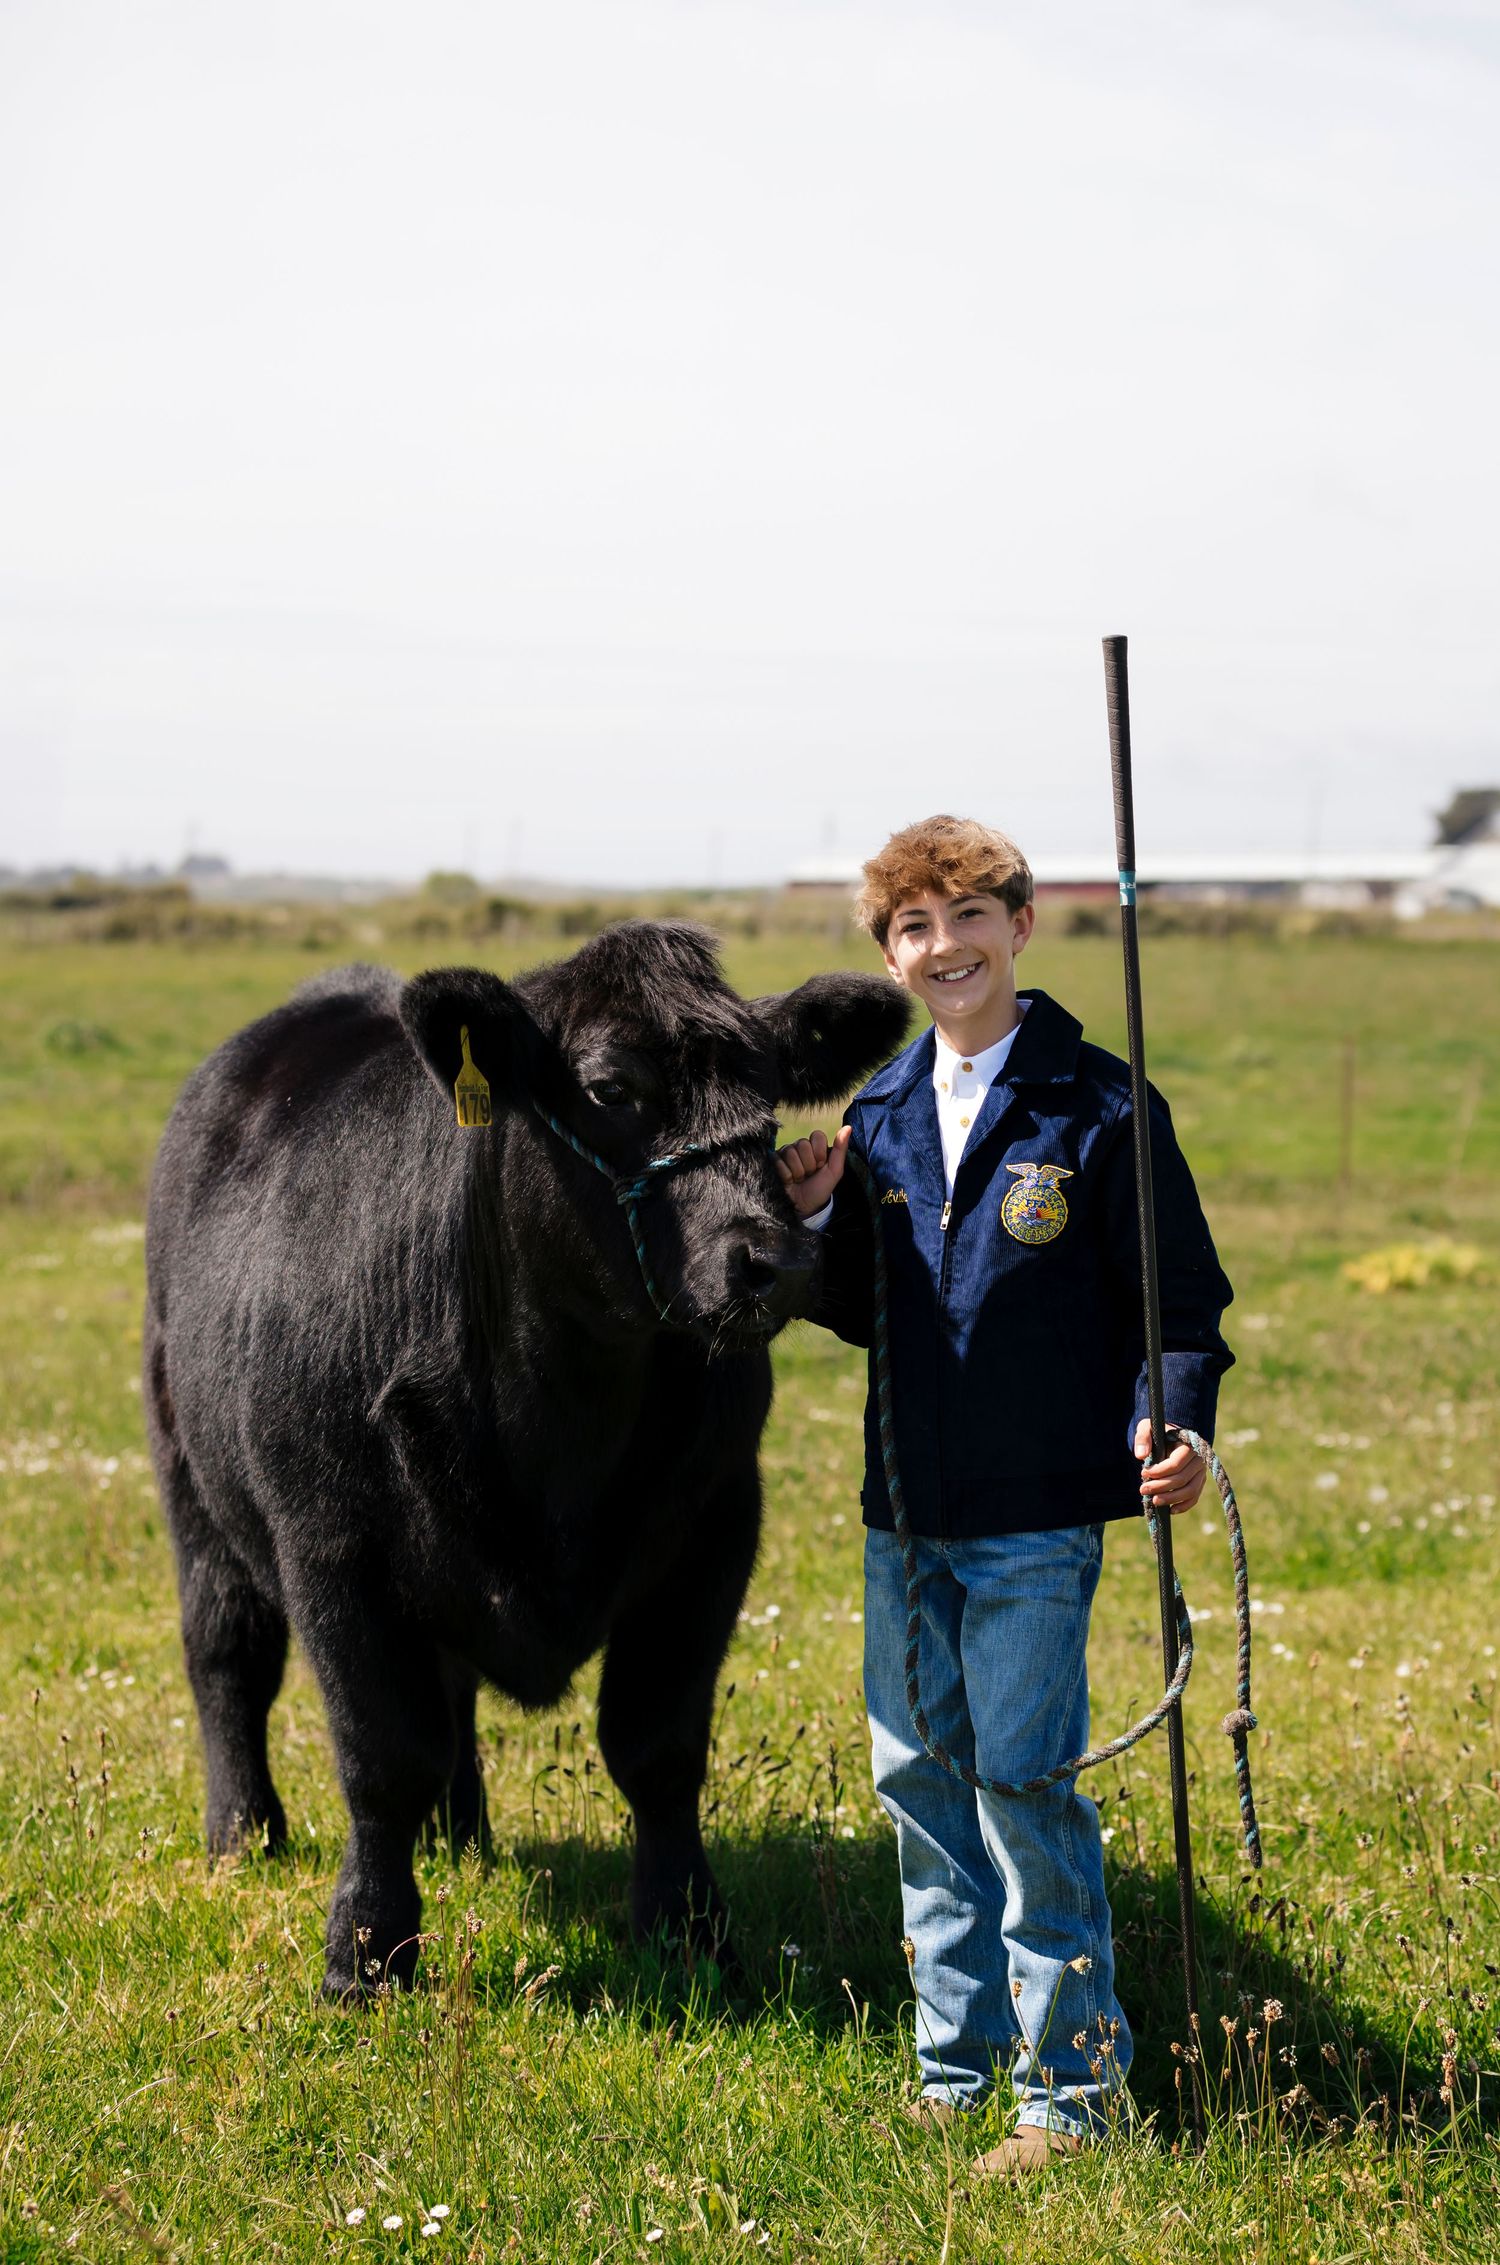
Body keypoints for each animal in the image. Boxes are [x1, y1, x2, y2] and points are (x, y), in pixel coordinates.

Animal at [143, 921, 907, 1997]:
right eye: (610, 1087)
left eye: (768, 1085)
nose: (777, 1259)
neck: (559, 1413)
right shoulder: (333, 1547)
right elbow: (382, 1757)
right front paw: (366, 1955)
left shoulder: (714, 1526)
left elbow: (658, 1747)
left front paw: (690, 1934)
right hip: (191, 1482)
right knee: (227, 1653)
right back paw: (244, 1835)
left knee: (451, 1687)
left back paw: (459, 1836)